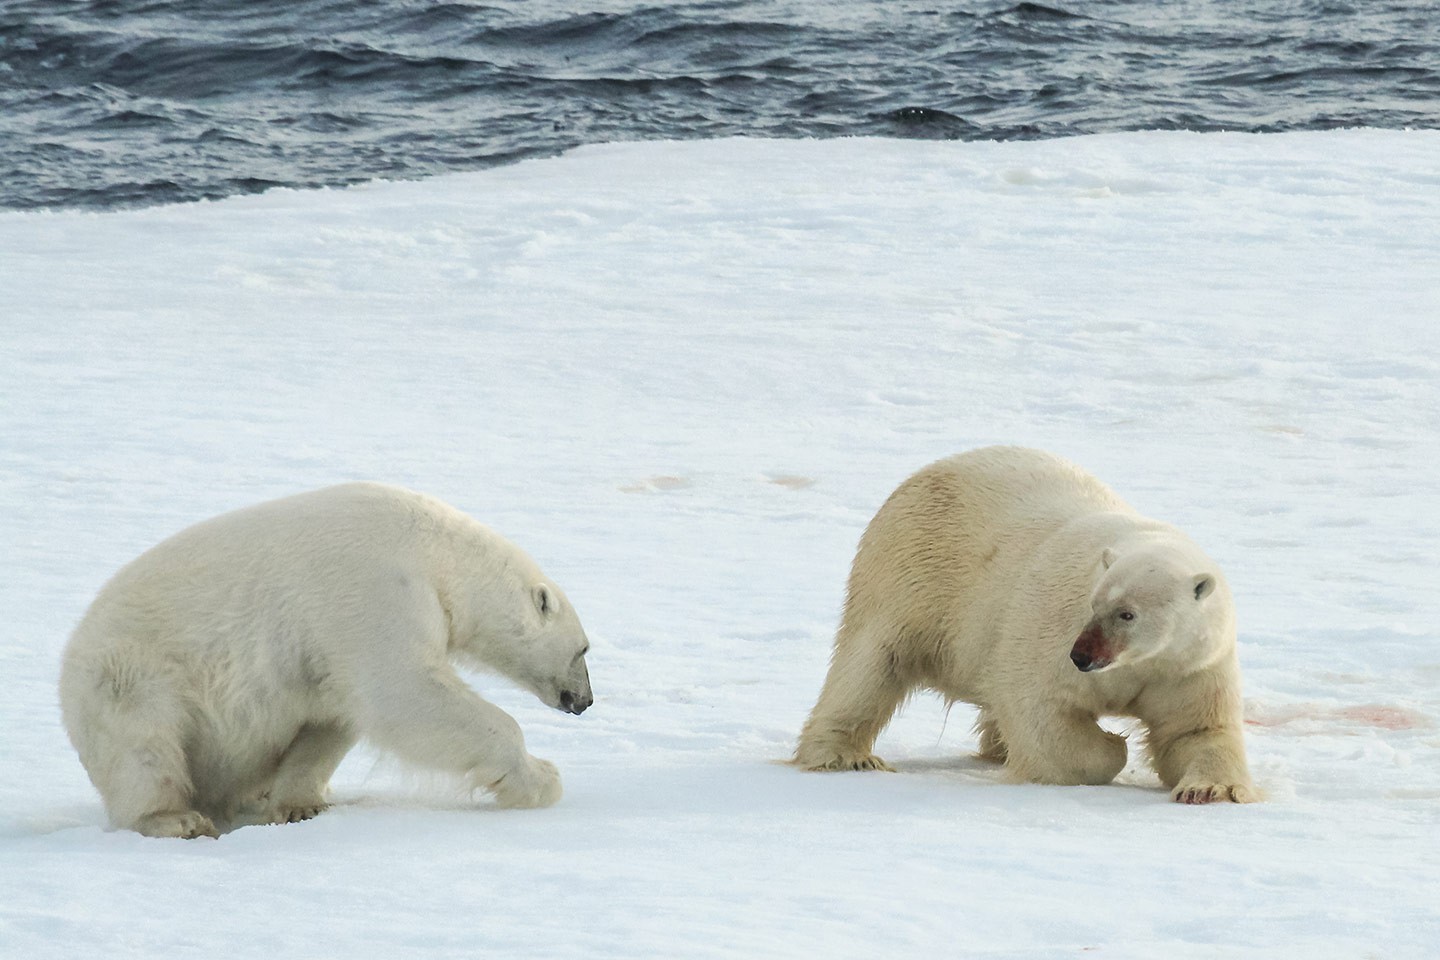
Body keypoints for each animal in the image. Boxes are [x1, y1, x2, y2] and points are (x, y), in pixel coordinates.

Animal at [59, 483, 593, 834]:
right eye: (584, 649)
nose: (584, 700)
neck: (438, 553)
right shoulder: (376, 586)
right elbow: (404, 692)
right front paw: (542, 778)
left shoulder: (326, 651)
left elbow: (328, 722)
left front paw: (300, 805)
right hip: (131, 675)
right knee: (145, 747)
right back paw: (176, 818)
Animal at [794, 449, 1255, 805]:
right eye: (1095, 603)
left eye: (1127, 613)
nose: (1081, 655)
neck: (1138, 665)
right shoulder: (1050, 631)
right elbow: (1041, 711)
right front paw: (1112, 743)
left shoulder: (1190, 667)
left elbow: (1195, 729)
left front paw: (1208, 790)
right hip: (910, 576)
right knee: (871, 664)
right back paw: (847, 757)